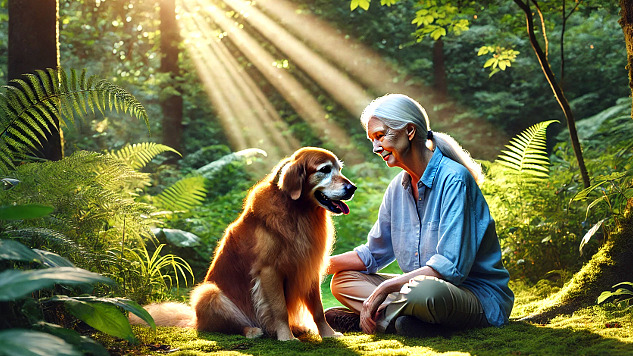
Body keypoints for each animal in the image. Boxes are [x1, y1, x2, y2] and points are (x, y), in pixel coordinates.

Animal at [133, 146, 356, 340]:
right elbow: (280, 309)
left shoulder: (309, 266)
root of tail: (194, 320)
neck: (298, 212)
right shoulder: (269, 270)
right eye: (325, 170)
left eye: (339, 169)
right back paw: (253, 331)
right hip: (208, 292)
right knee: (227, 326)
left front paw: (328, 334)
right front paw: (286, 338)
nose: (352, 188)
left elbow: (318, 309)